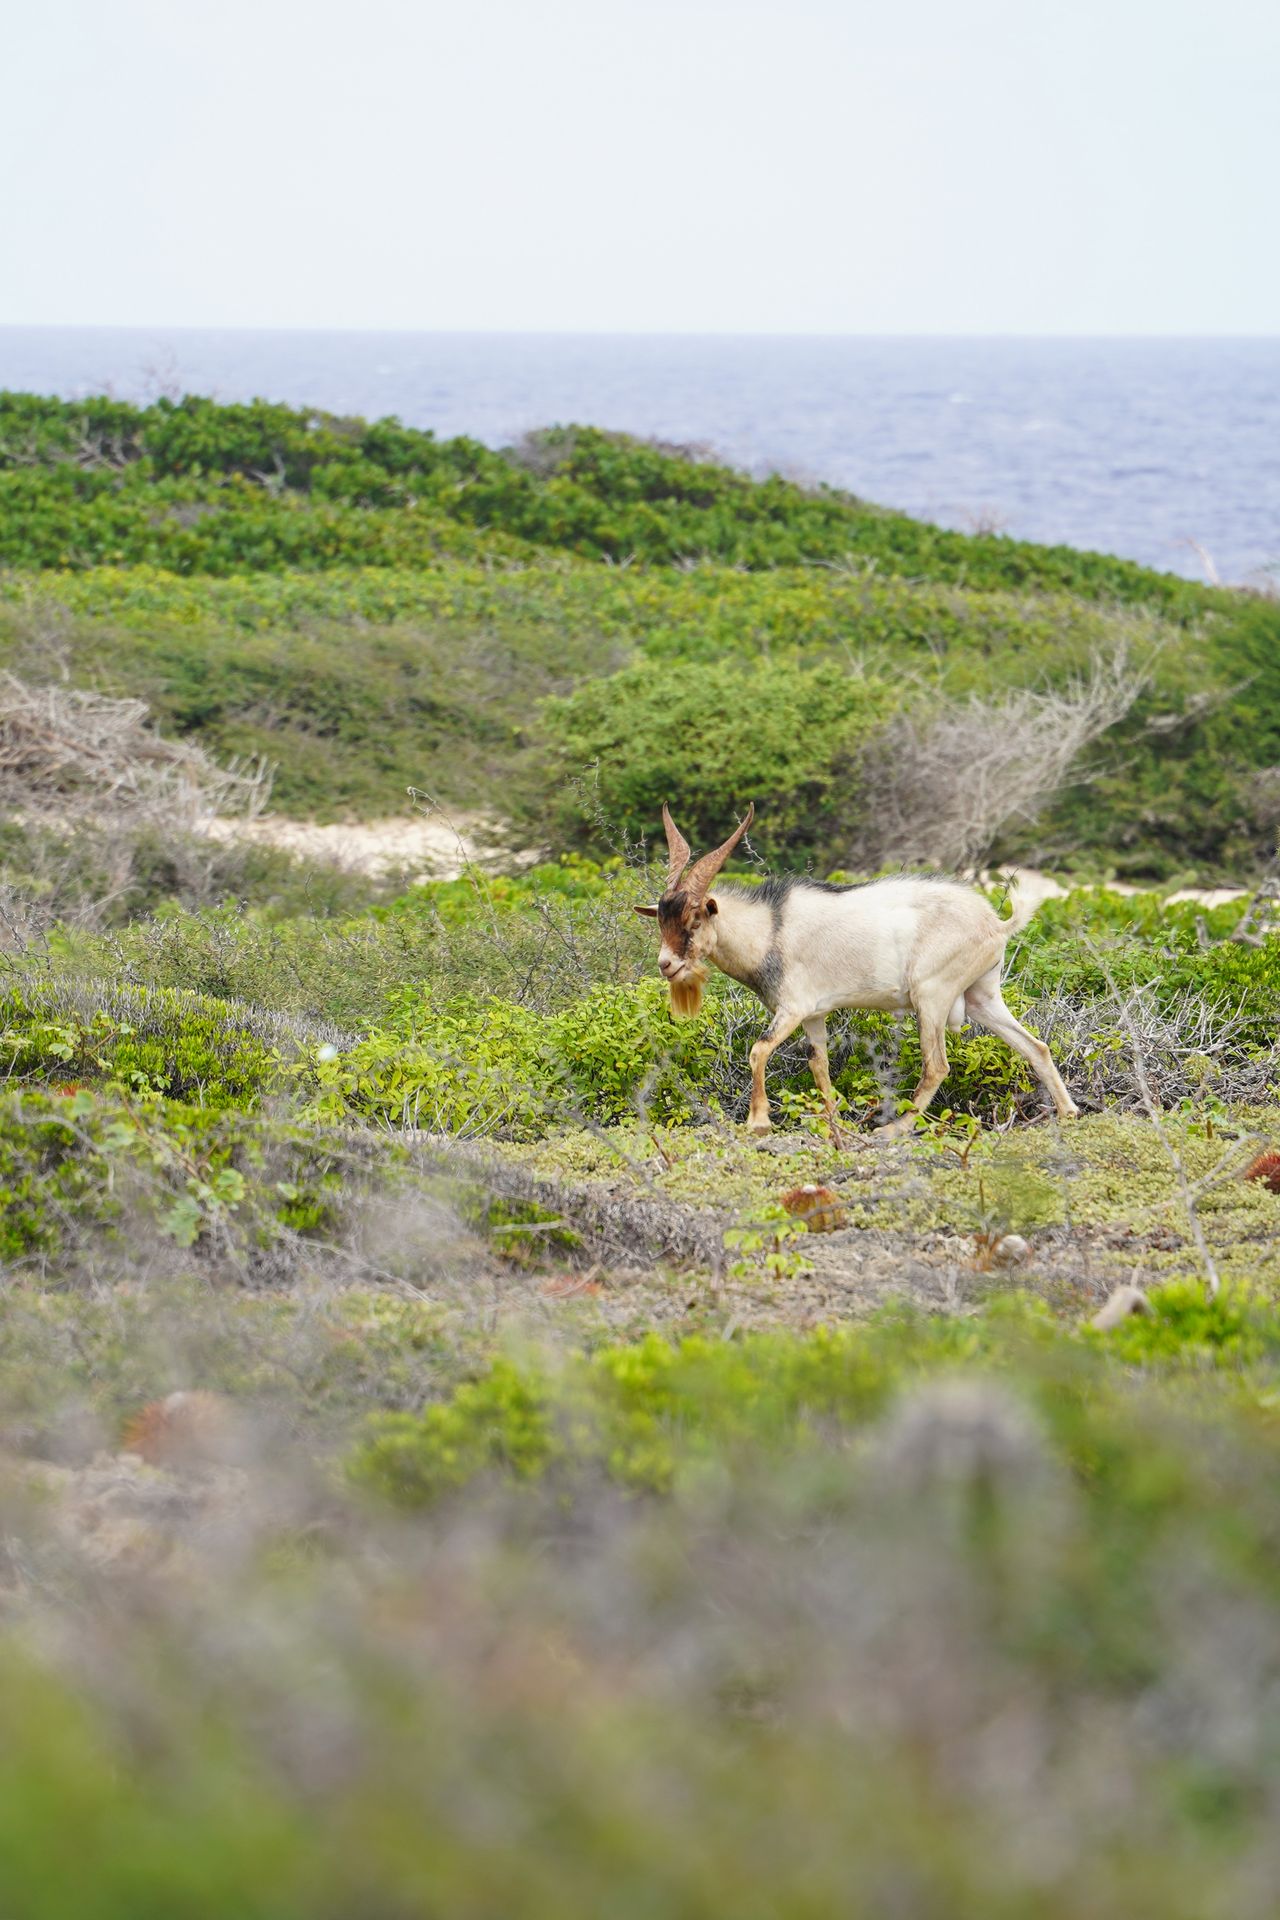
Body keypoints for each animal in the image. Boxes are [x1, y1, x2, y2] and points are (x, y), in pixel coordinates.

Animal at [636, 803, 1078, 1144]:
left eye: (694, 919)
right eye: (661, 918)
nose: (667, 964)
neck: (771, 927)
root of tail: (996, 923)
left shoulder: (793, 1008)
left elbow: (758, 1050)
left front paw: (758, 1122)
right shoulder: (814, 1015)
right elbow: (820, 1068)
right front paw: (836, 1131)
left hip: (931, 995)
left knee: (937, 1065)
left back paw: (893, 1130)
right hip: (981, 997)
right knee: (1035, 1047)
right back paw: (1069, 1112)